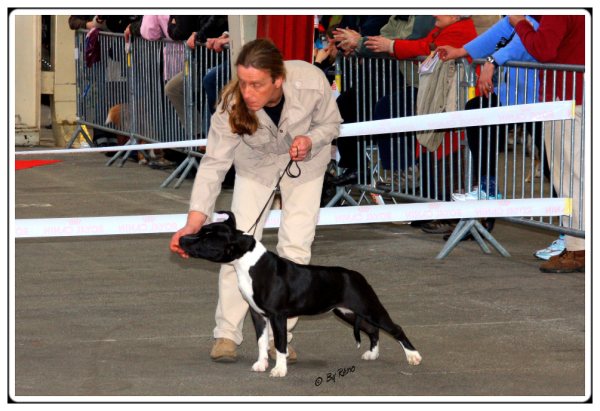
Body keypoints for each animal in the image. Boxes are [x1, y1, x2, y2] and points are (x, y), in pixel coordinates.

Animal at [179, 214, 422, 378]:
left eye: (207, 239)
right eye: (201, 230)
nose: (182, 240)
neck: (249, 265)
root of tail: (356, 275)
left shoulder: (278, 316)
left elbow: (280, 343)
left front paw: (279, 369)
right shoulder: (258, 315)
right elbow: (261, 342)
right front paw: (261, 364)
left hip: (368, 307)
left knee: (394, 328)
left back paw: (413, 356)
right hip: (347, 312)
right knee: (372, 330)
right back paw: (372, 354)